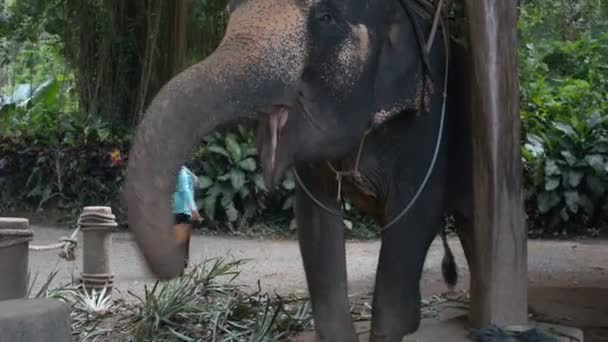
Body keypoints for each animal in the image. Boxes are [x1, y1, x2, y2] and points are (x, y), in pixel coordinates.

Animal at [124, 0, 476, 340]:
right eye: (228, 11)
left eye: (327, 17)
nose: (176, 265)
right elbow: (315, 221)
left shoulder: (428, 125)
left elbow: (416, 215)